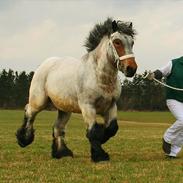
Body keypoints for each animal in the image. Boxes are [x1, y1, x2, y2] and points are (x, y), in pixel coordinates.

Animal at [16, 17, 137, 162]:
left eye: (132, 42)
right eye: (117, 42)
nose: (131, 68)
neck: (100, 77)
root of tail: (45, 64)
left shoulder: (111, 106)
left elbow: (112, 128)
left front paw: (102, 141)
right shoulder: (87, 106)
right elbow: (93, 131)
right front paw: (99, 156)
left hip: (64, 109)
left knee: (58, 127)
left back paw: (62, 153)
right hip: (39, 101)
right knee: (29, 112)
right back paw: (24, 140)